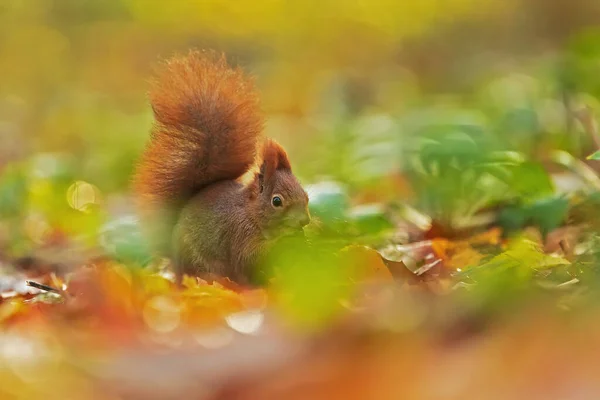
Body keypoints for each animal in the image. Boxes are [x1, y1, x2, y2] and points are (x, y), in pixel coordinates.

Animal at [134, 50, 312, 282]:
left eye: (306, 195)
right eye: (276, 201)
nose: (304, 221)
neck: (251, 214)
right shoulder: (241, 238)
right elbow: (247, 263)